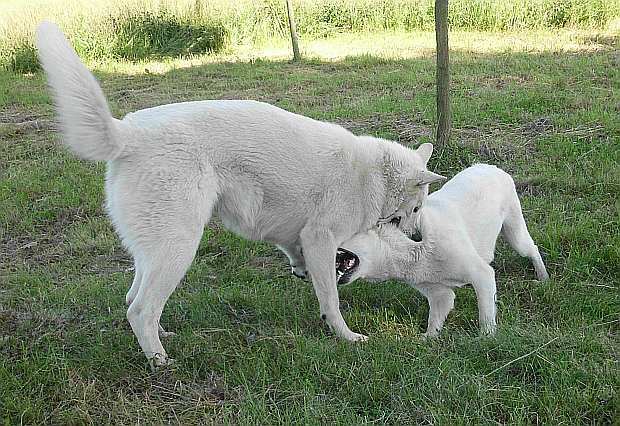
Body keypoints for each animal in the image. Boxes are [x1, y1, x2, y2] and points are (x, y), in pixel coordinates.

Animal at [35, 20, 446, 366]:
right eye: (417, 208)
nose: (418, 237)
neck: (374, 175)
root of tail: (127, 133)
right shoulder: (321, 238)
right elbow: (330, 298)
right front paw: (345, 336)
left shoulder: (294, 233)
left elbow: (295, 254)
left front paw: (300, 272)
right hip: (179, 248)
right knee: (139, 309)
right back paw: (160, 361)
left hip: (155, 251)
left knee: (132, 299)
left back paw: (163, 336)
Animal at [334, 163, 548, 336]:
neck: (408, 251)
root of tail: (493, 167)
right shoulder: (439, 294)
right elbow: (434, 322)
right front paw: (427, 340)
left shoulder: (482, 275)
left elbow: (486, 314)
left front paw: (486, 338)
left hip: (515, 235)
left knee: (532, 249)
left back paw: (543, 277)